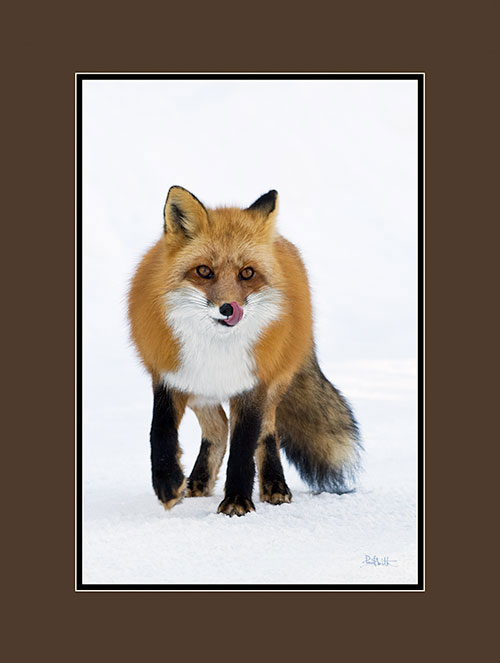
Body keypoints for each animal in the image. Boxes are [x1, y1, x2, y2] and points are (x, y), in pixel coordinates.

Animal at [128, 186, 360, 516]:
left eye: (247, 273)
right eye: (204, 271)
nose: (228, 308)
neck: (217, 347)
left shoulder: (253, 386)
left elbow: (243, 448)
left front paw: (237, 501)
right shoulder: (170, 375)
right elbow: (159, 433)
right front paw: (167, 483)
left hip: (274, 386)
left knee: (267, 433)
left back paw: (275, 486)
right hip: (200, 391)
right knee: (219, 428)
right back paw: (198, 482)